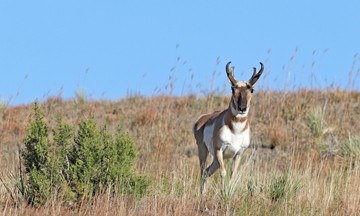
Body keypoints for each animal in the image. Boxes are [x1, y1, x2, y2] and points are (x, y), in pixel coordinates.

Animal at [193, 60, 262, 194]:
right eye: (233, 89)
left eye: (251, 90)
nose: (242, 108)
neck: (236, 131)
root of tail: (202, 119)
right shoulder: (219, 150)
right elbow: (223, 173)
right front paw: (223, 192)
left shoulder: (238, 154)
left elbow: (232, 175)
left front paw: (228, 193)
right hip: (204, 152)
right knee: (203, 171)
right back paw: (201, 194)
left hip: (215, 159)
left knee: (207, 172)